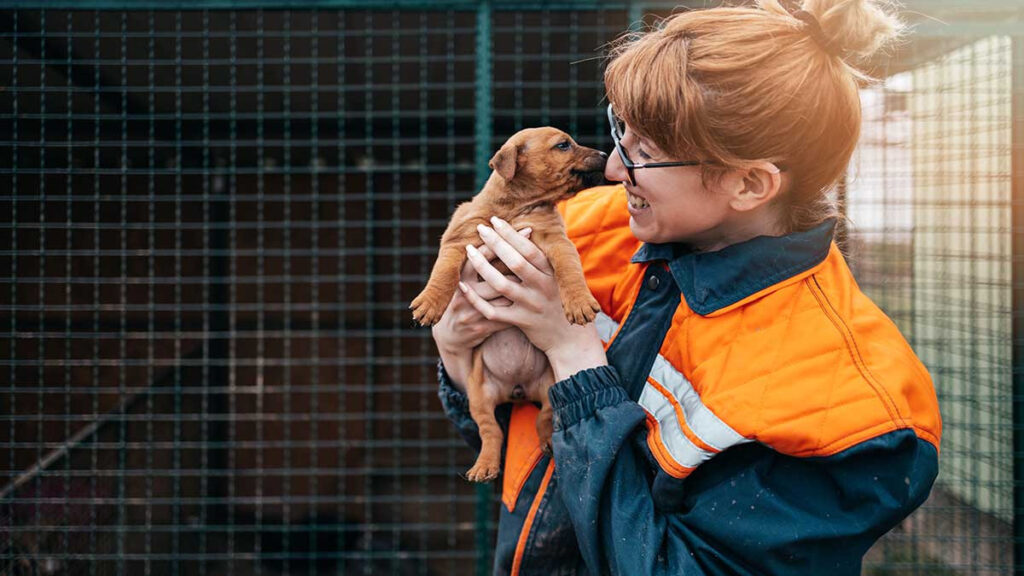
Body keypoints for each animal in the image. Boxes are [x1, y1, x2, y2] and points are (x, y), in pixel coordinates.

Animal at [409, 125, 602, 479]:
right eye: (563, 145)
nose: (606, 154)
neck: (515, 208)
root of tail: (517, 389)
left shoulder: (557, 241)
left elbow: (570, 271)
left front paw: (579, 301)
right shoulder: (459, 240)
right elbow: (444, 272)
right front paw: (430, 303)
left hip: (552, 385)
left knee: (544, 418)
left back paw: (548, 444)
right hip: (479, 396)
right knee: (491, 432)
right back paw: (484, 465)